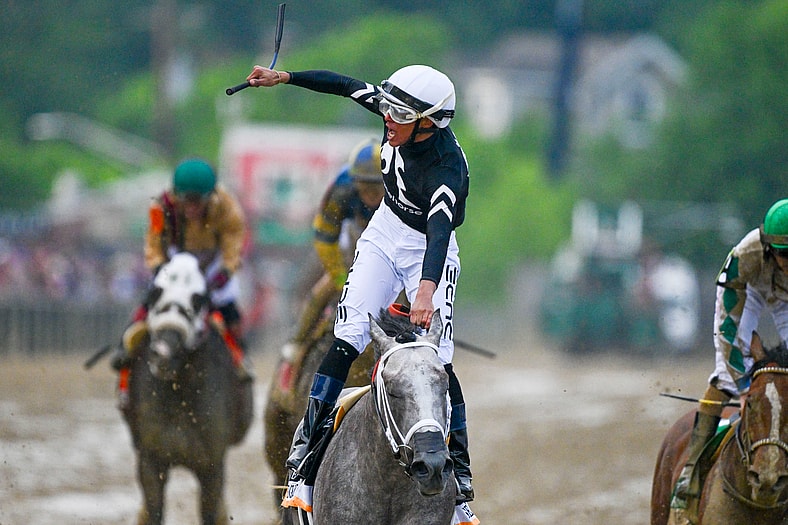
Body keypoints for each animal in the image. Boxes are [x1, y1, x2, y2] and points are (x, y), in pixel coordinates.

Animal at [122, 252, 254, 525]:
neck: (179, 393)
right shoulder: (151, 460)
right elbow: (153, 510)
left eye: (199, 298)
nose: (162, 354)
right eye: (154, 292)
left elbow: (210, 512)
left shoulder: (211, 464)